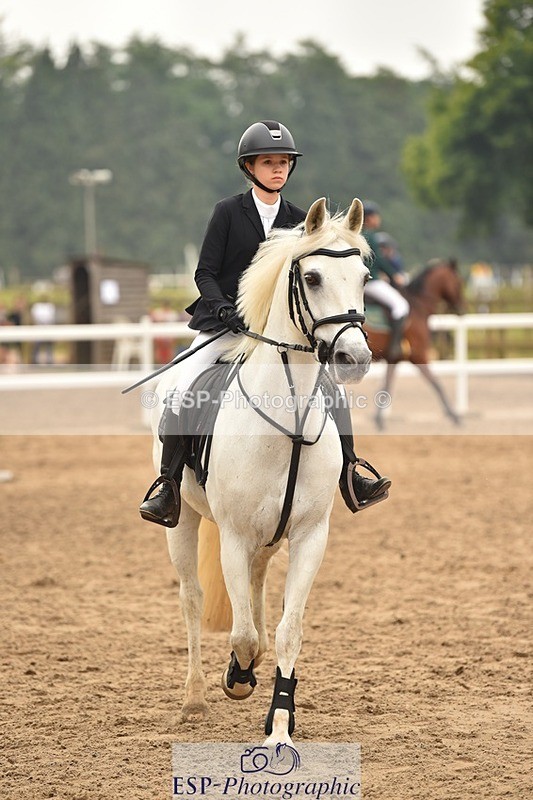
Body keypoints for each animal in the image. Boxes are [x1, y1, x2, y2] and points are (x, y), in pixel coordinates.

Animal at [150, 197, 374, 745]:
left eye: (363, 276)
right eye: (311, 277)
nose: (354, 358)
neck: (286, 421)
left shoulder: (311, 535)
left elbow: (287, 632)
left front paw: (279, 727)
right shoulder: (233, 536)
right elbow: (244, 635)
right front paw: (238, 678)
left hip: (270, 537)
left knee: (255, 587)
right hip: (183, 523)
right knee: (192, 597)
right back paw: (195, 698)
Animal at [365, 258, 465, 429]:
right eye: (458, 282)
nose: (462, 309)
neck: (418, 304)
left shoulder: (394, 359)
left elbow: (387, 386)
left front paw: (379, 420)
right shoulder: (419, 356)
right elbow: (436, 383)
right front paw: (454, 416)